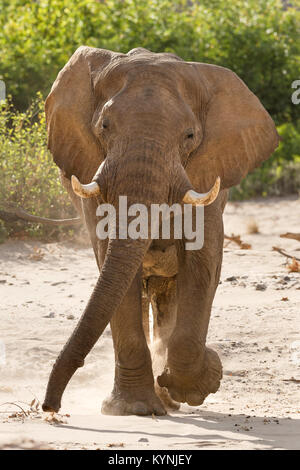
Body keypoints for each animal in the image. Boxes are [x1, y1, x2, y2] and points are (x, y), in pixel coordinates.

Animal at [41, 46, 278, 414]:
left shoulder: (206, 173)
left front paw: (204, 380)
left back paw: (170, 398)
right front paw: (133, 409)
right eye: (104, 125)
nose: (50, 407)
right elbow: (115, 268)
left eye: (190, 136)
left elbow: (202, 264)